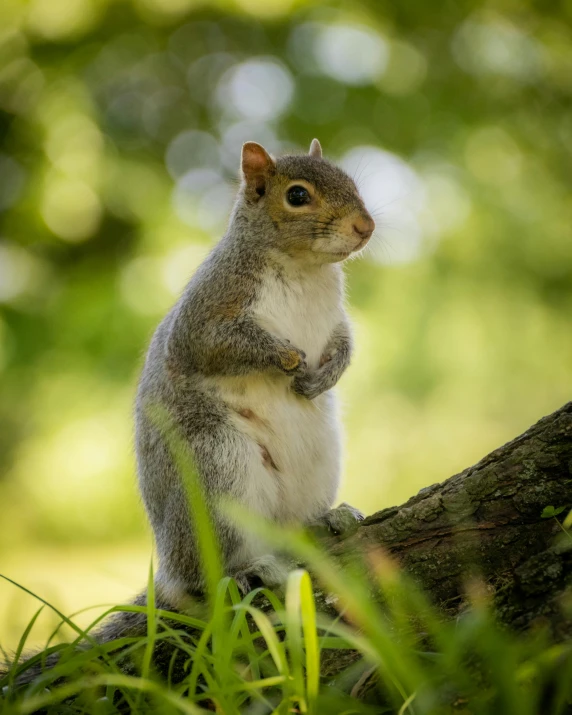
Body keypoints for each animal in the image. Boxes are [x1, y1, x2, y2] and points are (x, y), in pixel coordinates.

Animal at [136, 138, 374, 604]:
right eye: (297, 196)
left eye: (352, 182)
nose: (366, 226)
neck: (304, 268)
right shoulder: (210, 307)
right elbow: (211, 345)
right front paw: (285, 357)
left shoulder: (336, 319)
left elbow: (345, 342)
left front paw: (326, 375)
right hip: (216, 467)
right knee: (200, 580)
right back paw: (245, 570)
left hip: (319, 462)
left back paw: (326, 520)